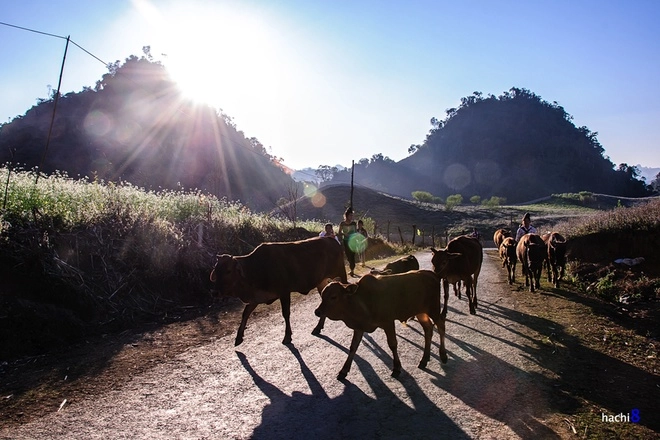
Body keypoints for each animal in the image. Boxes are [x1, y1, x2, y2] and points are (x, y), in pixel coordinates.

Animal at [210, 235, 346, 346]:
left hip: (340, 272)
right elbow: (246, 313)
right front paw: (238, 337)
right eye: (216, 270)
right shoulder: (257, 297)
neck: (256, 268)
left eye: (228, 271)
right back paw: (318, 327)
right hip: (321, 282)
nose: (215, 293)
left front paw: (287, 336)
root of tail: (333, 240)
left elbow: (286, 314)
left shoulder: (284, 292)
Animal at [312, 270, 446, 380]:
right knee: (428, 328)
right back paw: (424, 359)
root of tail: (432, 274)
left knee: (441, 326)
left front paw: (397, 368)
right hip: (420, 312)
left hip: (433, 309)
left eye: (333, 297)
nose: (317, 312)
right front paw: (343, 371)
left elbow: (392, 344)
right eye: (322, 295)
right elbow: (353, 347)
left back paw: (443, 354)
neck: (362, 301)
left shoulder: (388, 322)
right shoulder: (359, 327)